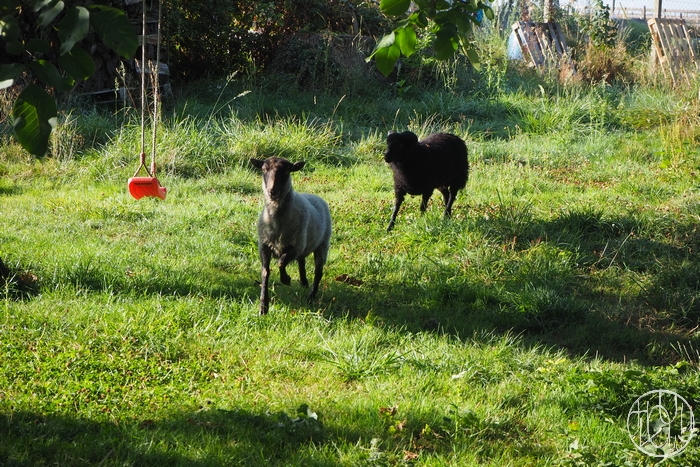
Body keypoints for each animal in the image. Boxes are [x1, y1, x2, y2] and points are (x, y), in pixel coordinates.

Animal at [250, 156, 332, 314]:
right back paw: (304, 282)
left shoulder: (295, 247)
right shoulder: (264, 246)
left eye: (286, 172)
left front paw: (286, 279)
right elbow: (265, 272)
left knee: (318, 272)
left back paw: (311, 297)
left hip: (322, 245)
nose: (272, 191)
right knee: (302, 261)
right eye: (264, 170)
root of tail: (315, 196)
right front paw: (263, 307)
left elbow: (281, 262)